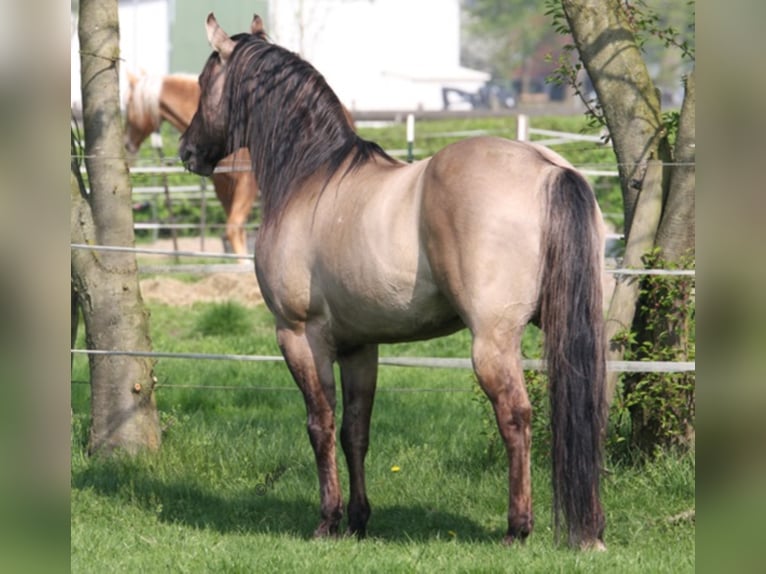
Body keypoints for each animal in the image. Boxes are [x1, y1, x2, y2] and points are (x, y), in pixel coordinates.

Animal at [123, 70, 257, 257]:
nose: (126, 143)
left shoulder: (246, 185)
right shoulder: (224, 187)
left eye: (128, 103)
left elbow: (233, 229)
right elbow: (237, 232)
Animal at [180, 13, 608, 550]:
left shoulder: (299, 335)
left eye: (203, 81)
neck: (309, 178)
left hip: (493, 341)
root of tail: (548, 170)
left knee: (515, 415)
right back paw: (591, 527)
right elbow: (355, 431)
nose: (187, 151)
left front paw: (328, 520)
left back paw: (518, 527)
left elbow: (320, 424)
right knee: (587, 407)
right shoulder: (360, 346)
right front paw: (359, 520)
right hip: (570, 327)